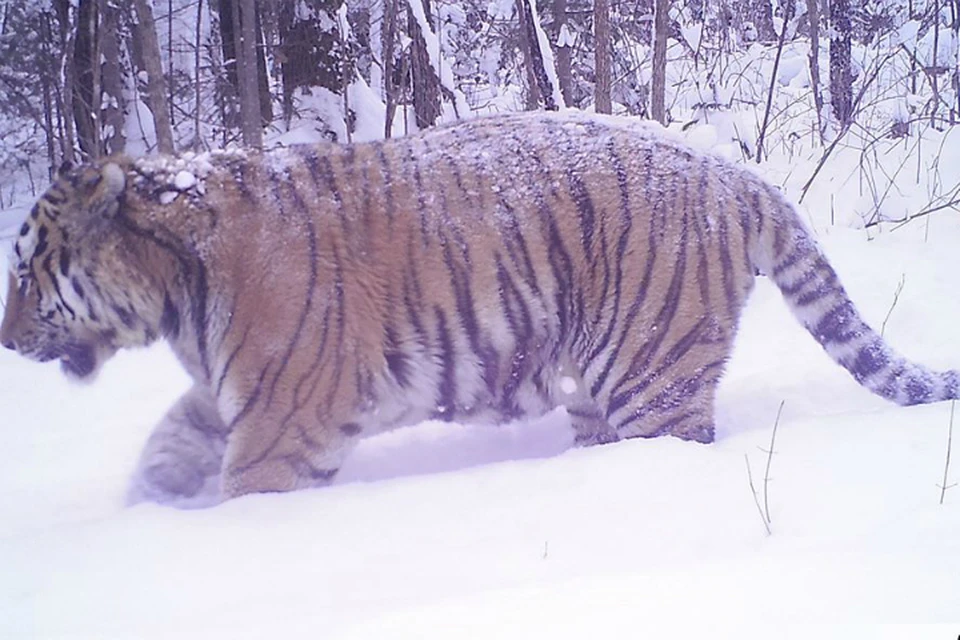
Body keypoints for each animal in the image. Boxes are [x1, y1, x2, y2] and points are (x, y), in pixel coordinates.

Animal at [1, 112, 960, 504]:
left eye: (25, 269)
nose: (6, 340)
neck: (174, 288)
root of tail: (735, 172)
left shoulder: (282, 424)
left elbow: (244, 490)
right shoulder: (231, 392)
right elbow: (171, 440)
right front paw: (148, 503)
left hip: (652, 378)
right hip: (600, 383)